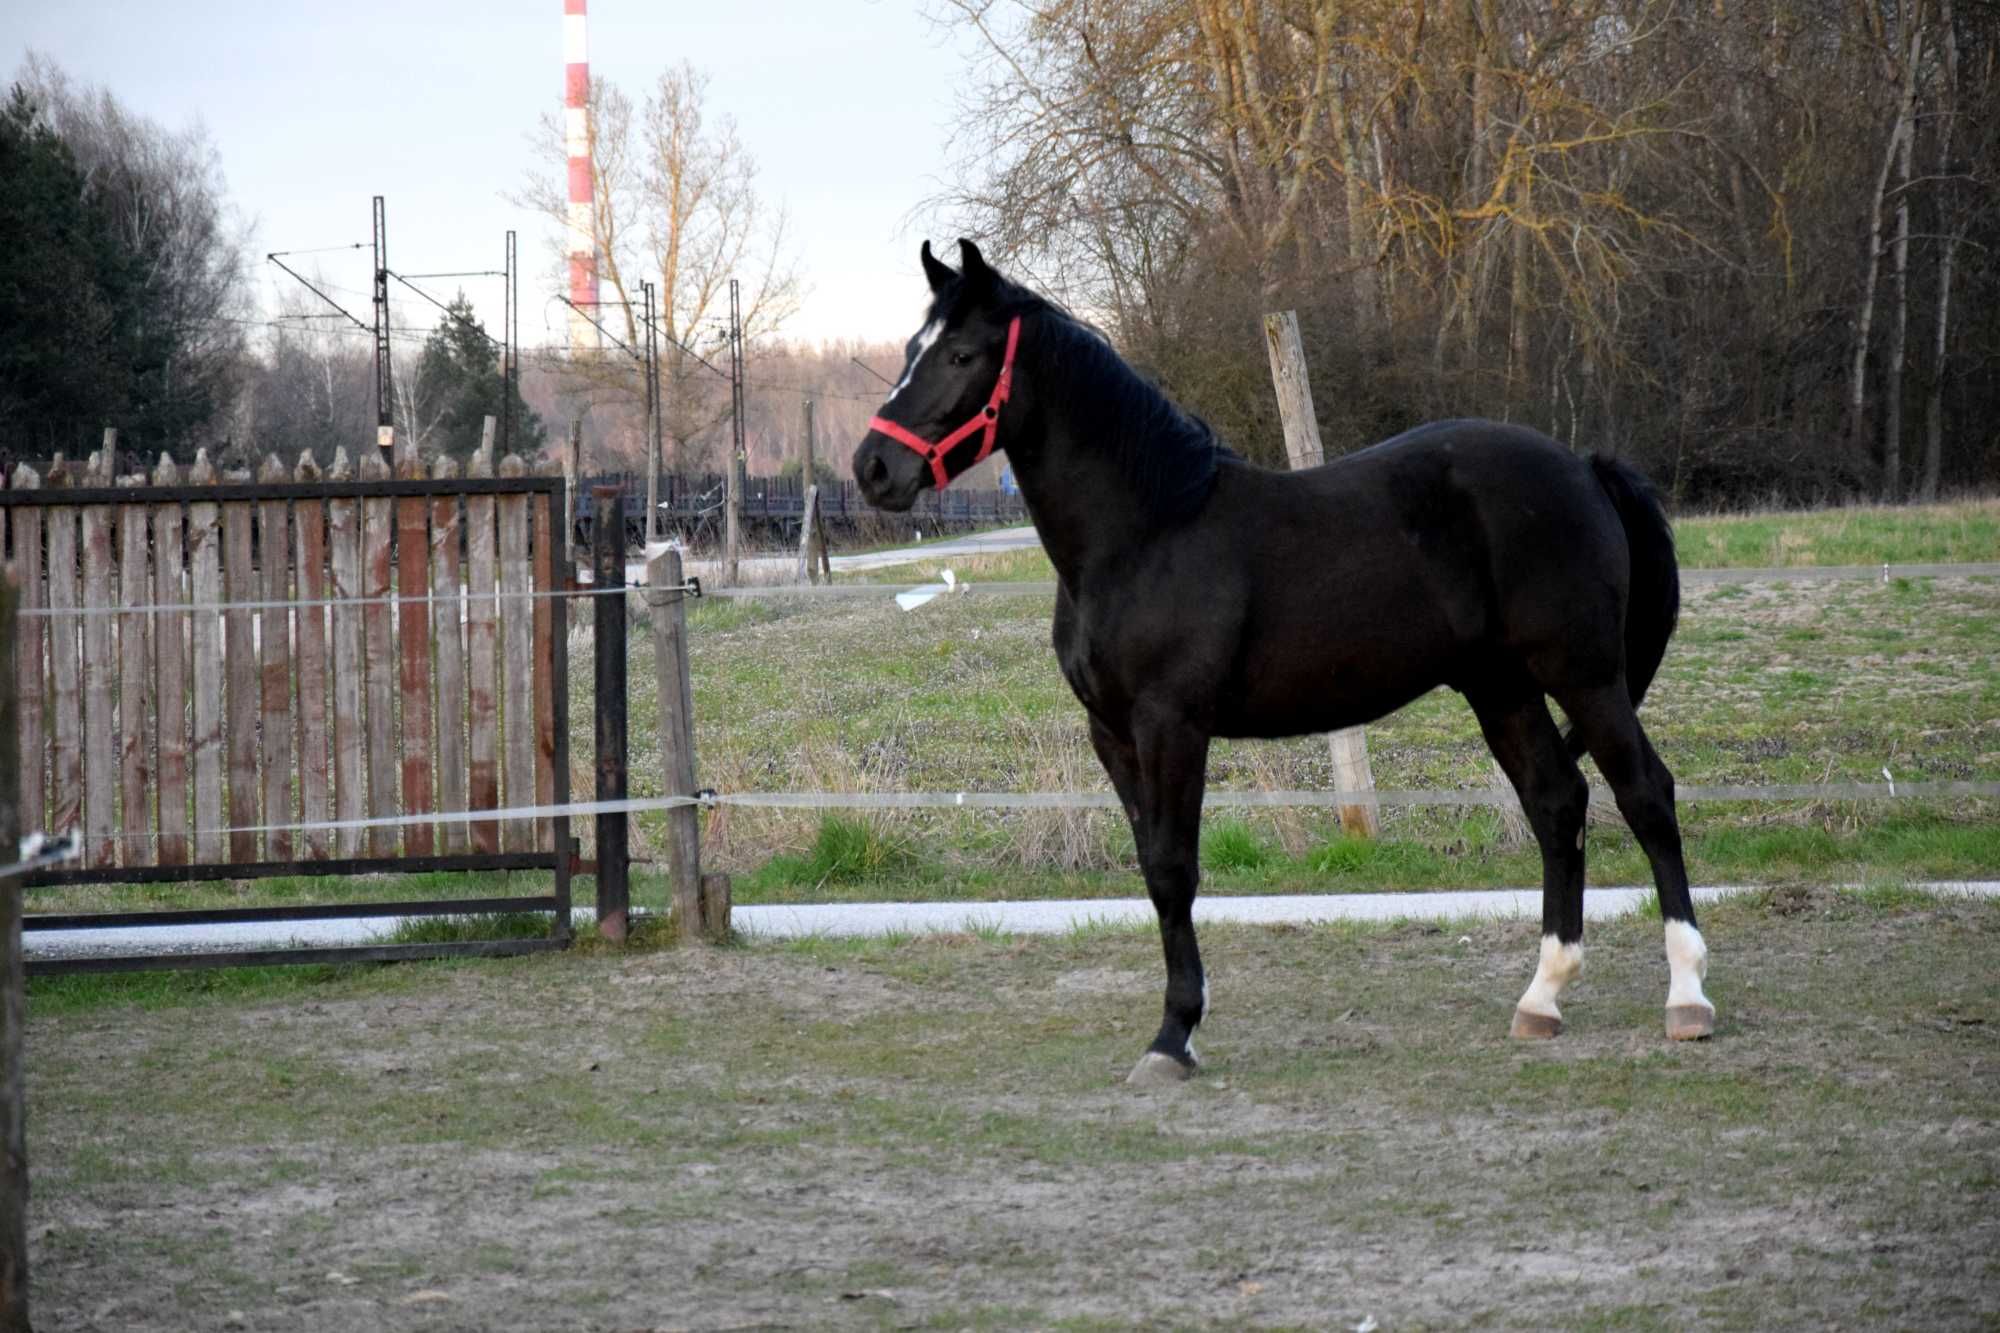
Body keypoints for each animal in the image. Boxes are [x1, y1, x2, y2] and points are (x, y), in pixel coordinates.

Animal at [852, 244, 1712, 1088]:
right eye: (911, 348)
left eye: (960, 354)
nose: (873, 468)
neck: (1146, 530)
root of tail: (1583, 464)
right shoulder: (1113, 735)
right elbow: (1151, 867)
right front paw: (1177, 1029)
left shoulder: (1171, 726)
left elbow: (1174, 868)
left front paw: (1173, 1036)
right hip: (1501, 687)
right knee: (1557, 803)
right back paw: (1542, 997)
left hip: (1584, 675)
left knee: (1645, 793)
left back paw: (1687, 997)